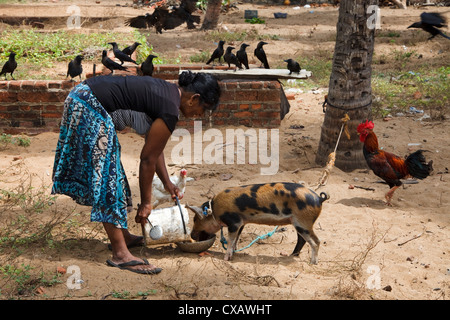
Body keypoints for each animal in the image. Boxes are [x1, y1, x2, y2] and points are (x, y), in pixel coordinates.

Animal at [186, 181, 330, 264]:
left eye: (195, 219)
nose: (191, 235)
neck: (215, 210)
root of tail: (319, 198)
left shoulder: (233, 221)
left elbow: (231, 239)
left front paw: (226, 259)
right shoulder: (241, 222)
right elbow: (236, 239)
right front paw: (235, 252)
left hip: (303, 222)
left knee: (316, 241)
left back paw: (312, 263)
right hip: (298, 223)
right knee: (302, 240)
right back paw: (292, 255)